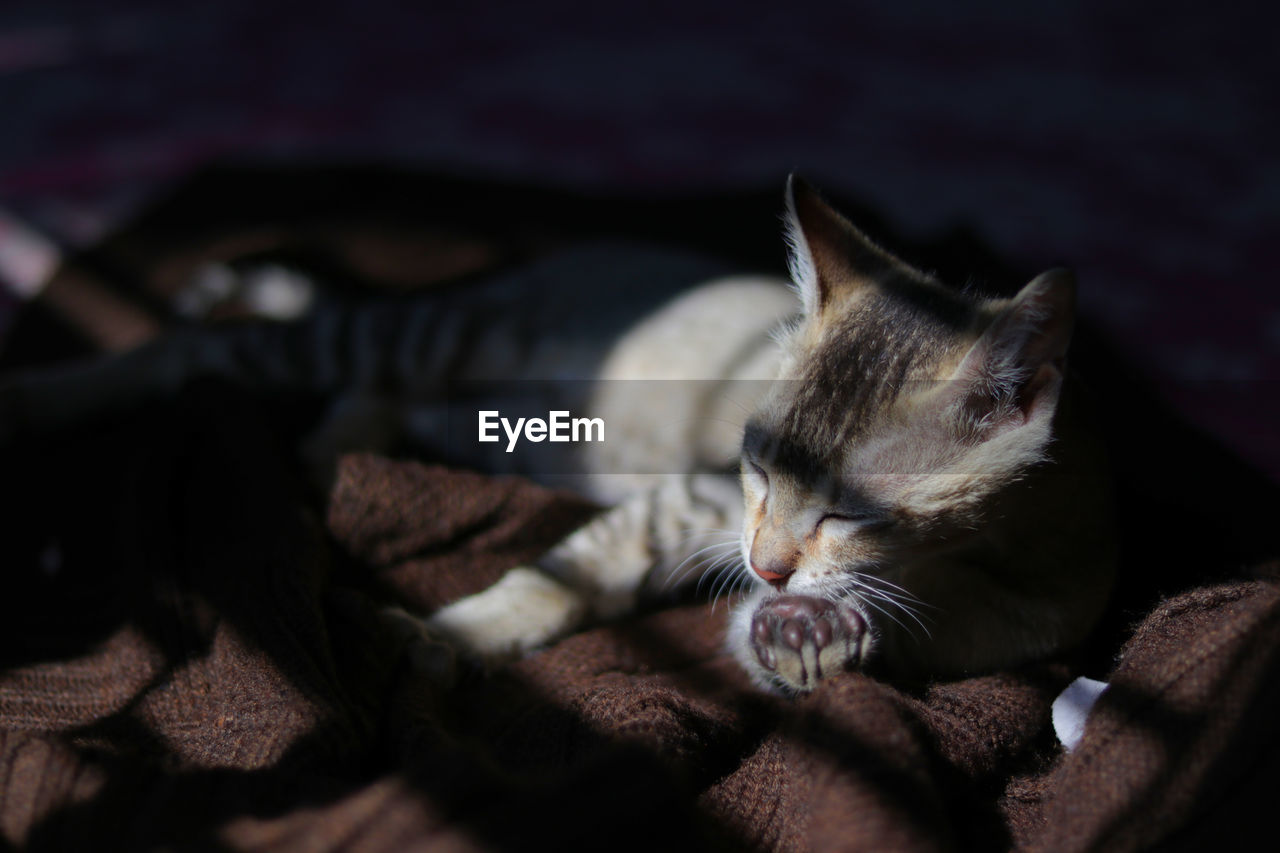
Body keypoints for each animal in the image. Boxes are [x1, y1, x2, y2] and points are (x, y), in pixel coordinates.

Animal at [0, 178, 1116, 691]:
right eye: (757, 463)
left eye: (848, 511)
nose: (764, 568)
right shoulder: (702, 498)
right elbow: (560, 578)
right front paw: (444, 635)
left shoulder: (1011, 619)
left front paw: (816, 632)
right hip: (425, 331)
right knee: (206, 348)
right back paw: (44, 395)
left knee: (366, 395)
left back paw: (326, 459)